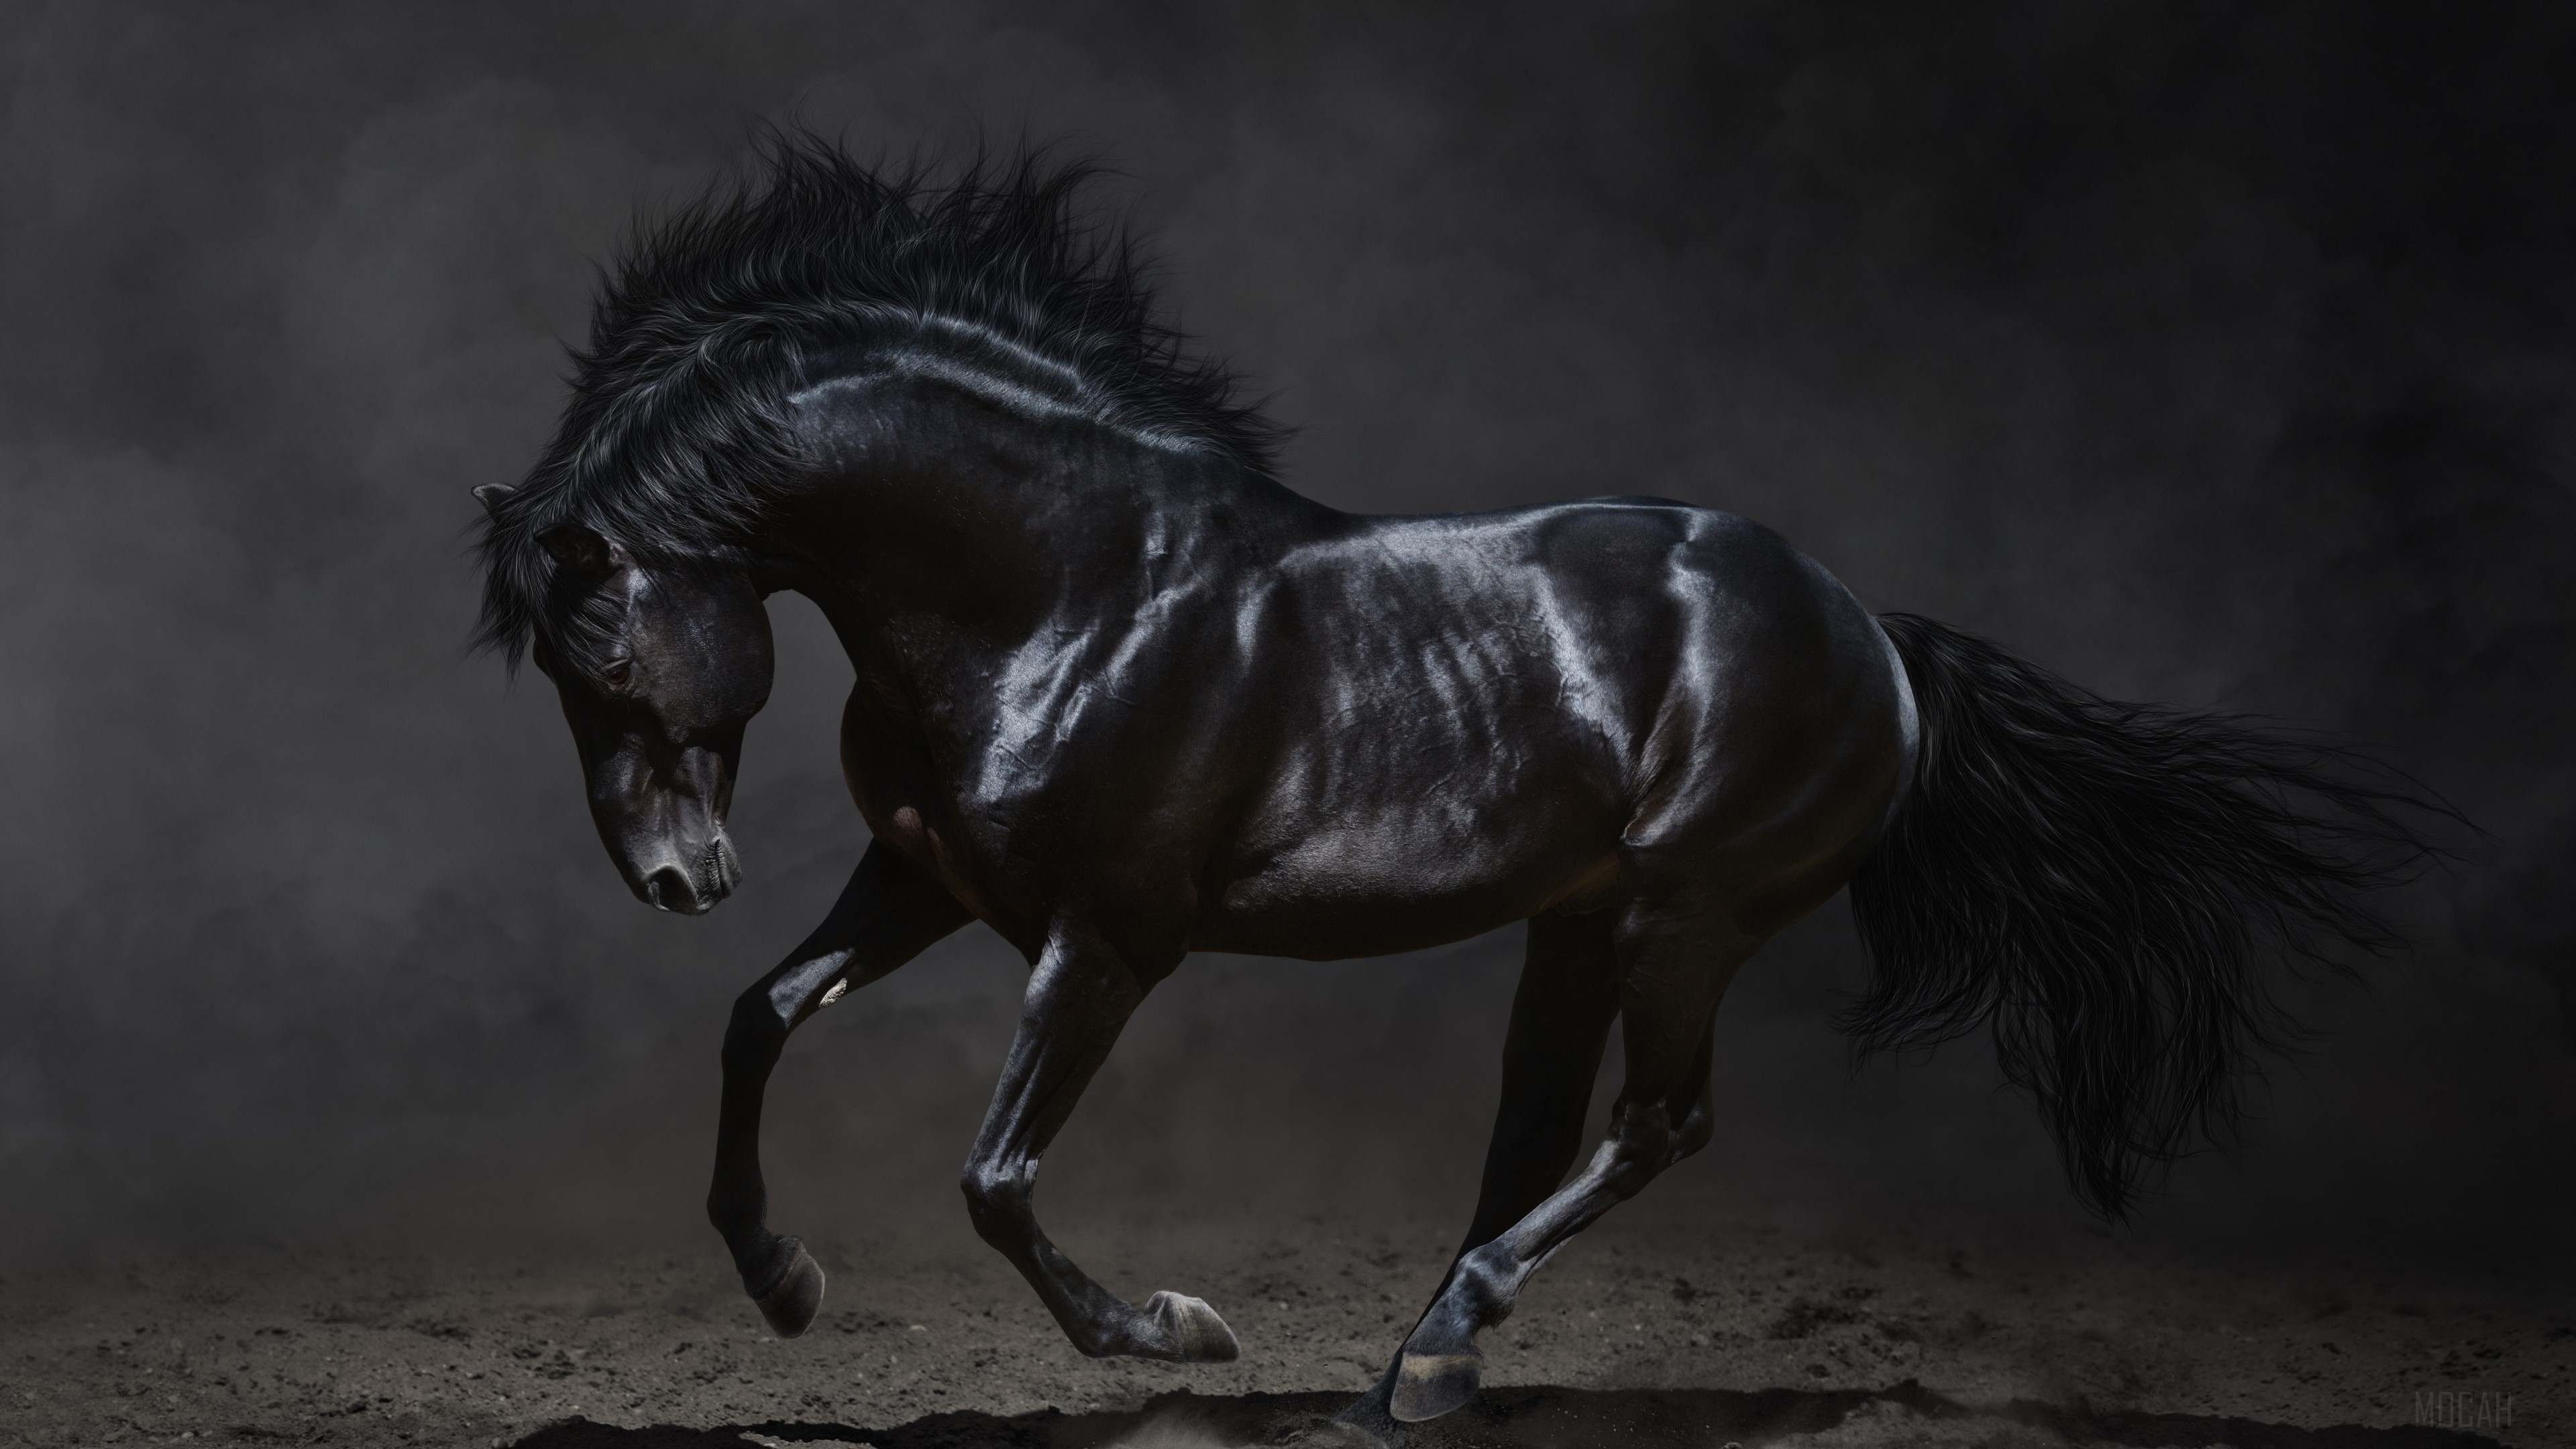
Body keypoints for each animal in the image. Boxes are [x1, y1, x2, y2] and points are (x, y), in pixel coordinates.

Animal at [472, 136, 2434, 1433]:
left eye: (604, 654)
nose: (674, 877)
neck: (1064, 587)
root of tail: (1874, 634)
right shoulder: (928, 881)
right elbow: (760, 1017)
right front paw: (782, 1281)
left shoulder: (1104, 940)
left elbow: (996, 1176)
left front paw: (1177, 1334)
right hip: (1578, 924)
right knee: (1538, 1133)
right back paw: (1425, 1357)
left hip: (1685, 916)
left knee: (1657, 1125)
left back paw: (1436, 1347)